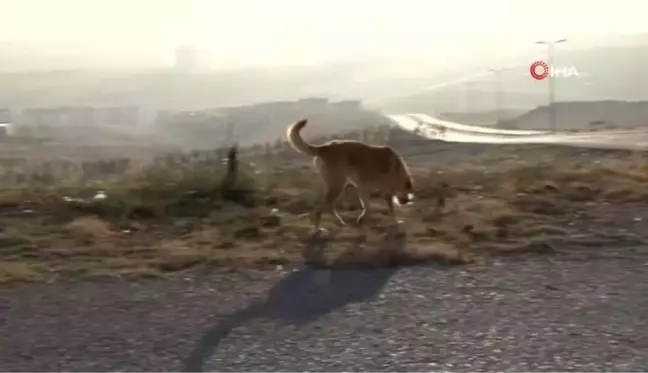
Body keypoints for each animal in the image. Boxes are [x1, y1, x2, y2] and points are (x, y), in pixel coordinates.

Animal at [284, 117, 416, 231]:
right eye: (407, 193)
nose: (405, 202)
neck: (397, 171)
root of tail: (325, 147)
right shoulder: (384, 192)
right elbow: (389, 210)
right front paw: (395, 222)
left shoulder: (363, 189)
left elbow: (367, 208)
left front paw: (361, 220)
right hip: (337, 186)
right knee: (321, 209)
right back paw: (318, 230)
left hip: (337, 187)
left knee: (329, 206)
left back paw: (340, 222)